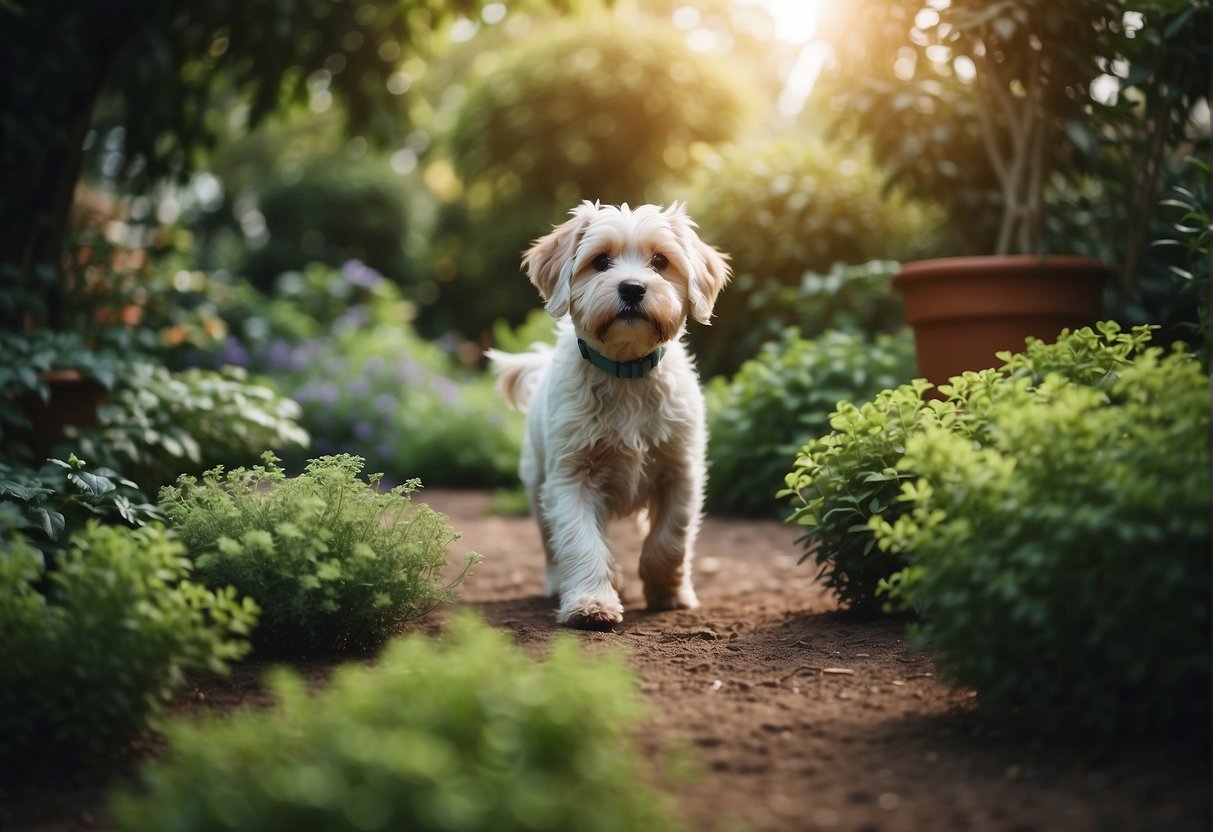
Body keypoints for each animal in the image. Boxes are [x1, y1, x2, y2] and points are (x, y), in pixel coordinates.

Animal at [482, 202, 727, 630]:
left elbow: (670, 539)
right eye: (600, 261)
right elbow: (581, 541)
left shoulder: (681, 473)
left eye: (660, 261)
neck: (626, 372)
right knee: (553, 544)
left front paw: (668, 592)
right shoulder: (571, 479)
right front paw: (591, 602)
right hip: (537, 485)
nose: (632, 288)